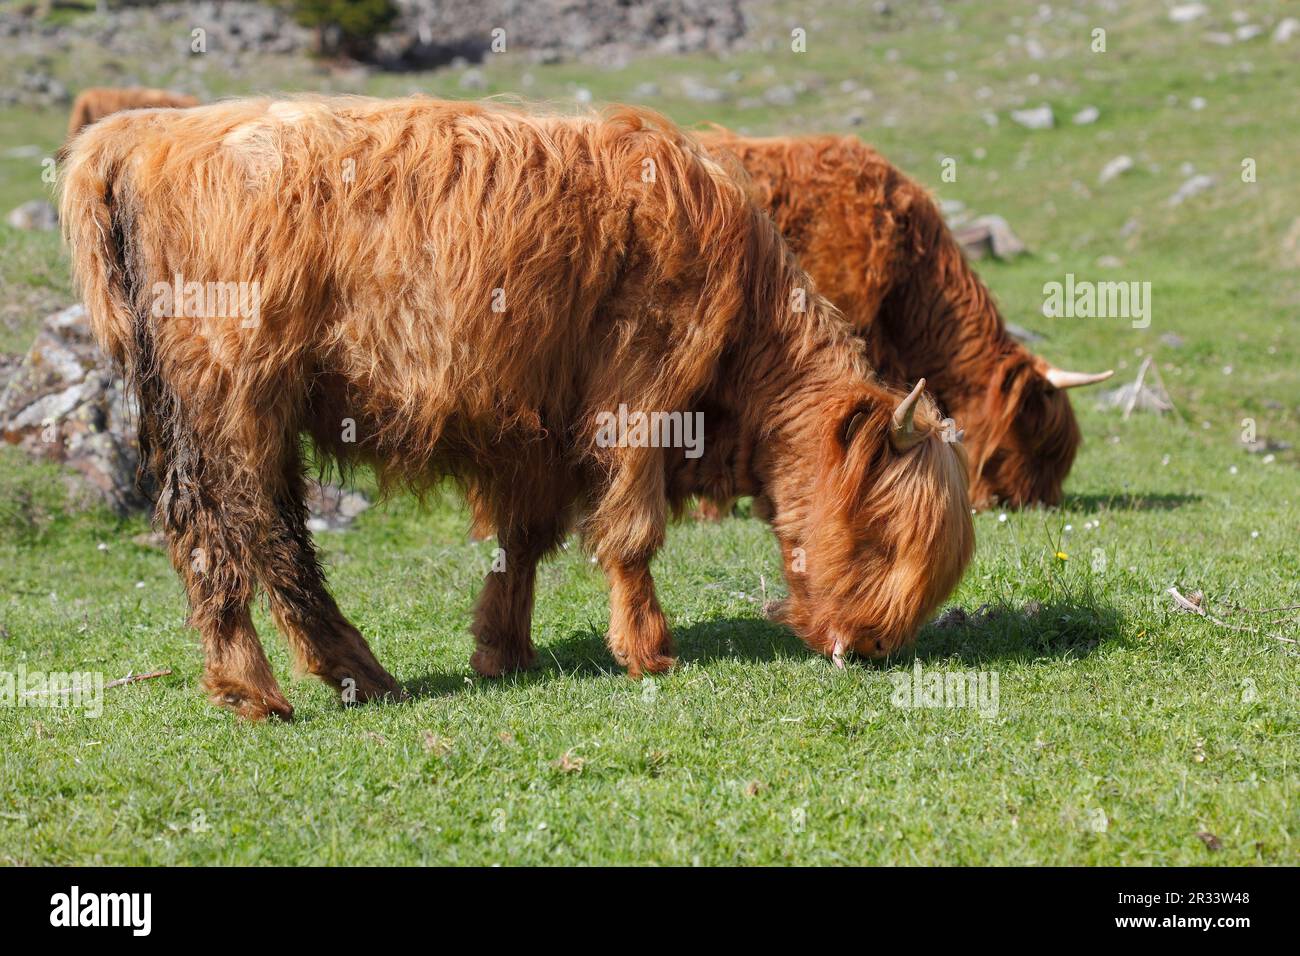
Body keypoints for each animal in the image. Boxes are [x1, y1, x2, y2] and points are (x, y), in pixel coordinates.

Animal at [60, 96, 974, 720]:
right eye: (880, 534)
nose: (870, 645)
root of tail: (146, 133)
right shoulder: (640, 394)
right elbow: (632, 530)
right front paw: (649, 652)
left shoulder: (538, 433)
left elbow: (524, 541)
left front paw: (504, 649)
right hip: (238, 391)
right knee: (258, 526)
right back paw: (324, 676)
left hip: (181, 404)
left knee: (199, 526)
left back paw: (258, 683)